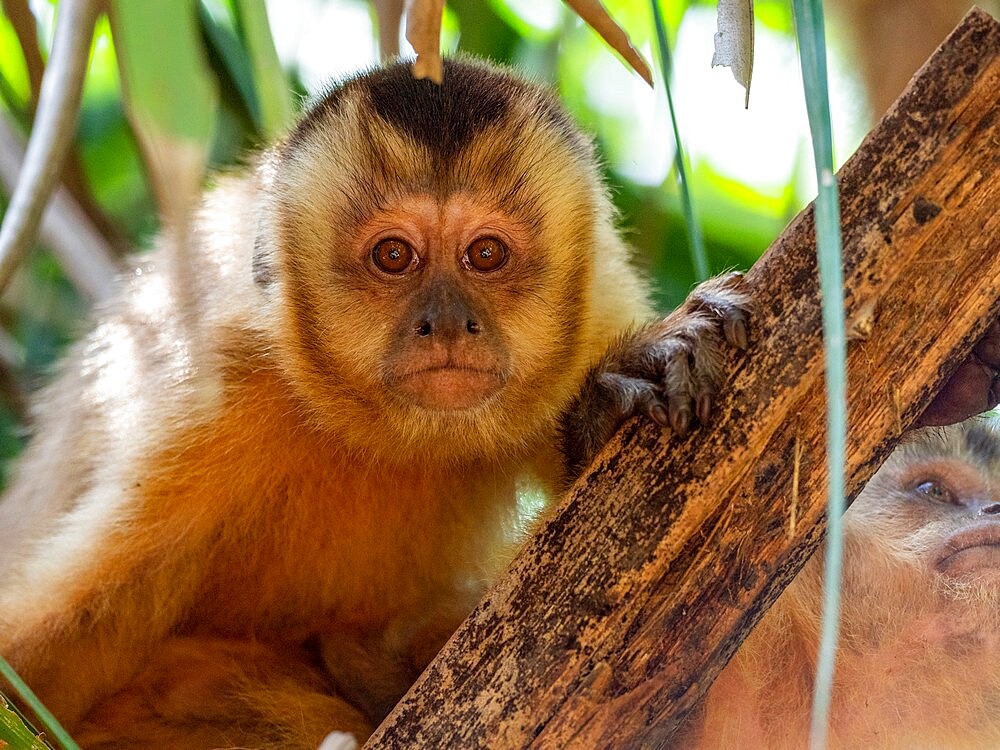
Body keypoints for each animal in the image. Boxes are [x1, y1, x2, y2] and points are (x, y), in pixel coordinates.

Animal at [0, 60, 752, 750]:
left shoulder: (596, 307)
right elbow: (56, 654)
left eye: (486, 254)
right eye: (394, 255)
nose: (445, 323)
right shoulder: (214, 394)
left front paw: (604, 406)